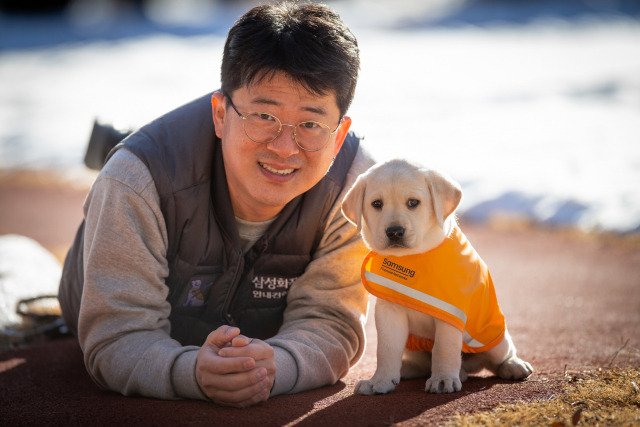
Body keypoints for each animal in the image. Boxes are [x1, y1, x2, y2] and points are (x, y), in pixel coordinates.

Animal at [342, 160, 532, 394]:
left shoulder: (450, 310)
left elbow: (444, 347)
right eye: (376, 204)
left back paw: (513, 366)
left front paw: (443, 379)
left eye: (413, 202)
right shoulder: (389, 310)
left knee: (499, 356)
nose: (394, 232)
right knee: (423, 364)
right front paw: (380, 381)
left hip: (492, 337)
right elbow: (386, 349)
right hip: (413, 347)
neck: (413, 259)